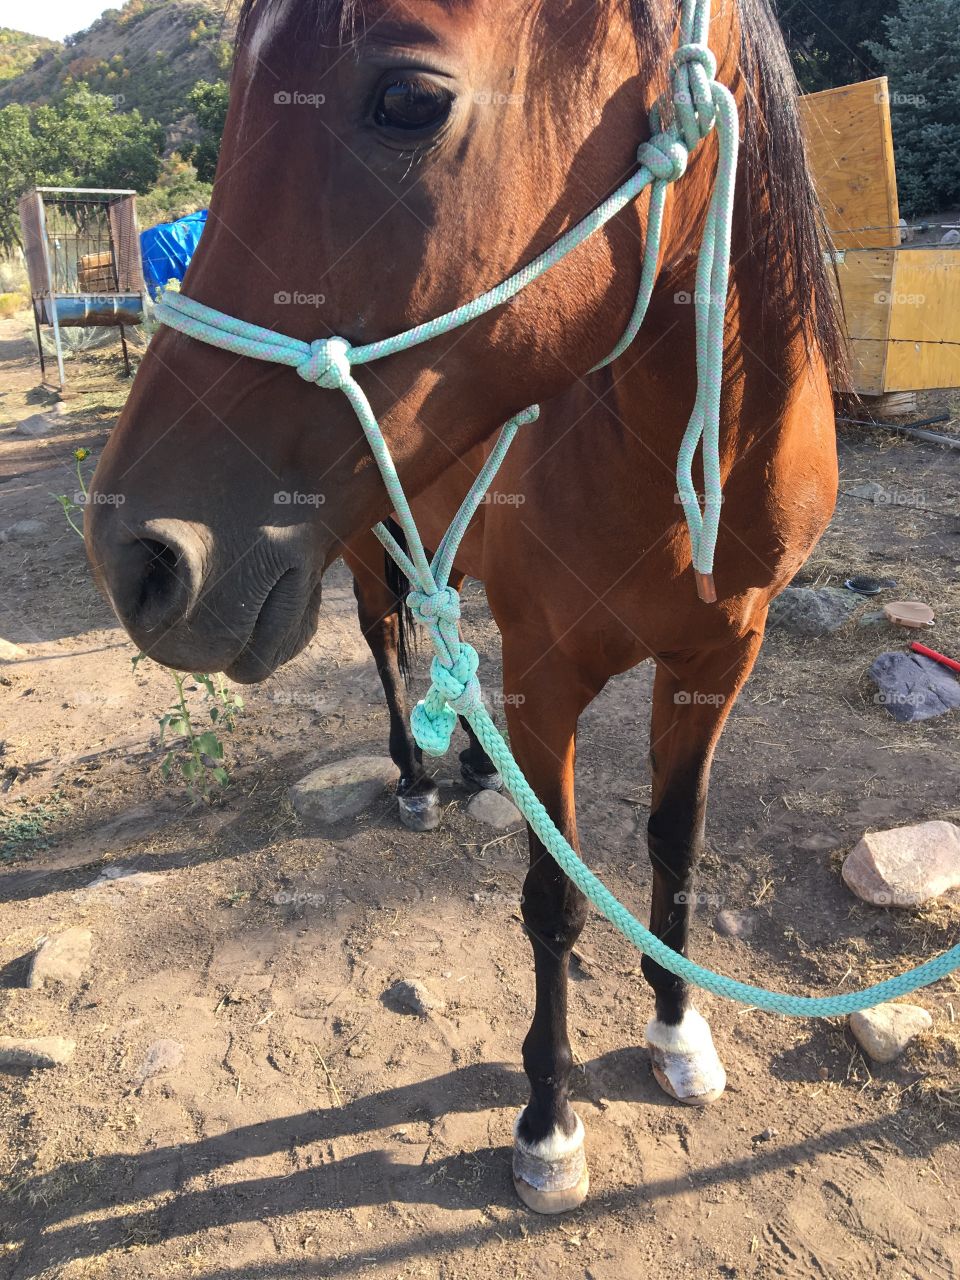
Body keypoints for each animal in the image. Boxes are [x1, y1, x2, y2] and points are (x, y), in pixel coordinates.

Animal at [85, 0, 845, 1212]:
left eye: (408, 100)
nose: (139, 556)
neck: (678, 453)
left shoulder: (720, 659)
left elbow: (675, 846)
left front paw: (679, 1028)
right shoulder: (552, 676)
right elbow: (556, 900)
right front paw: (548, 1121)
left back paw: (479, 766)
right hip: (359, 538)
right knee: (390, 641)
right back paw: (415, 776)